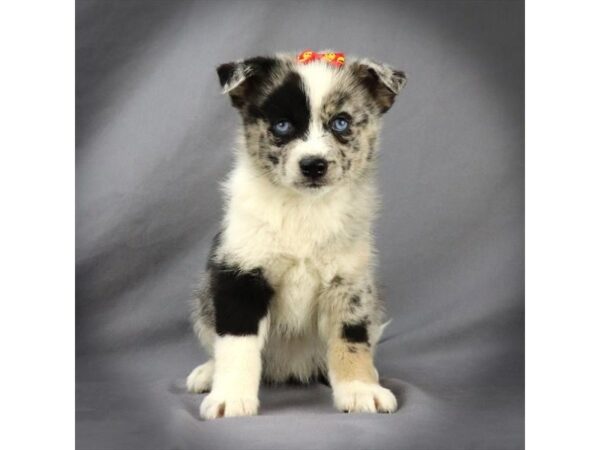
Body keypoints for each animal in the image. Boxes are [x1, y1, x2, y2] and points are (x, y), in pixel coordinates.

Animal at [185, 51, 406, 420]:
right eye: (282, 126)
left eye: (341, 123)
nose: (314, 165)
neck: (304, 208)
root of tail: (292, 369)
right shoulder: (240, 274)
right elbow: (236, 343)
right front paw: (230, 398)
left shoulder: (350, 282)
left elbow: (350, 339)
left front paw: (360, 390)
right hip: (204, 300)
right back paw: (207, 374)